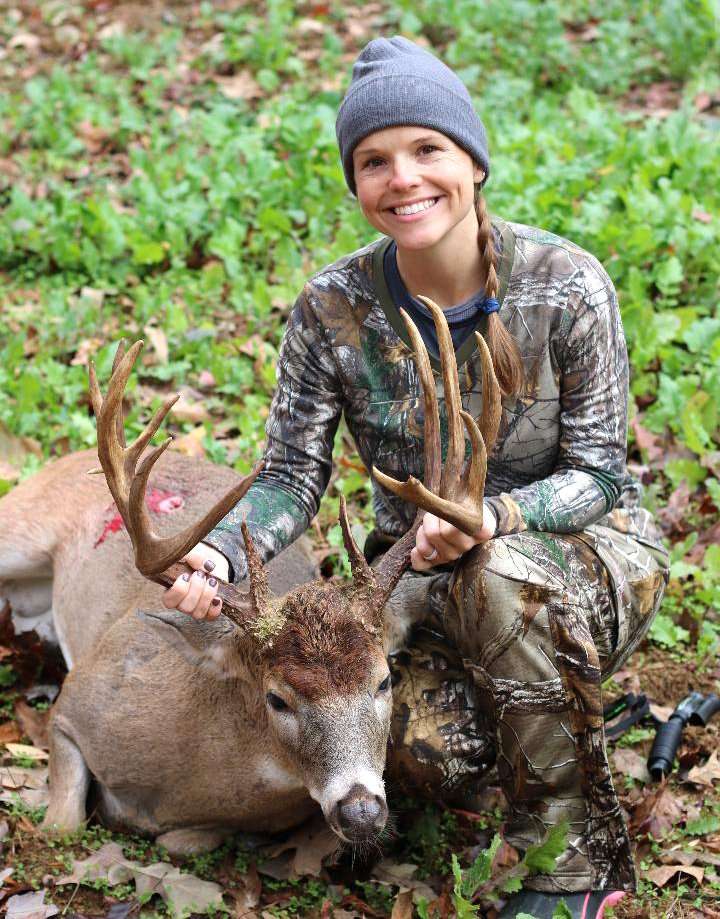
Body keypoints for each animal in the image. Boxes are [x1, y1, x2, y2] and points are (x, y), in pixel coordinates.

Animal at [4, 302, 500, 856]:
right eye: (277, 698)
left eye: (384, 680)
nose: (361, 812)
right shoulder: (76, 703)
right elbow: (63, 825)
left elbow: (186, 841)